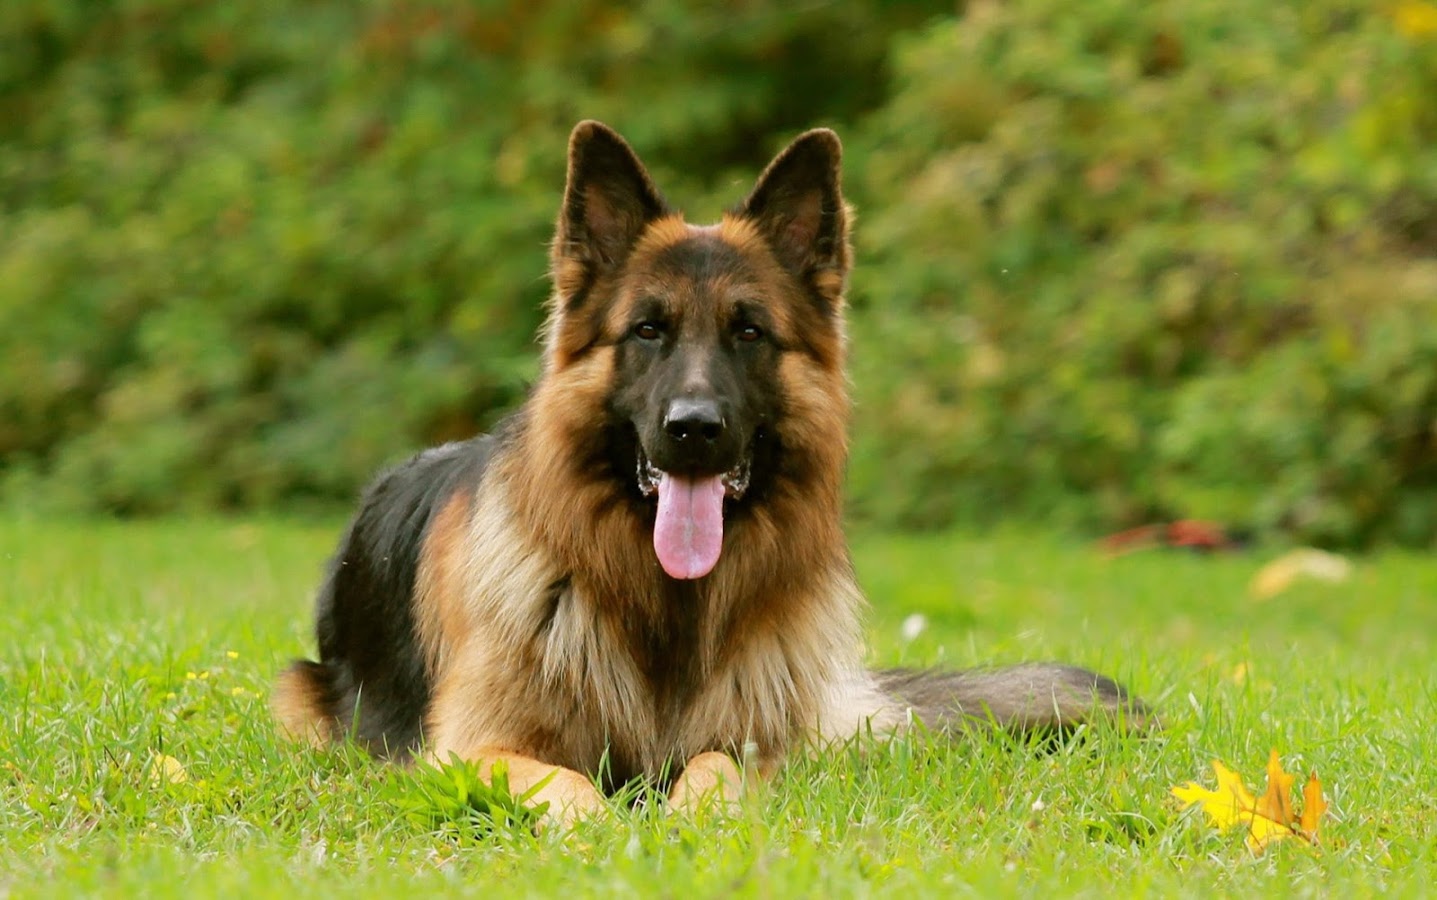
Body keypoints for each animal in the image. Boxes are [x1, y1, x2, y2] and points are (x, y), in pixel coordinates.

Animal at [271, 119, 1143, 822]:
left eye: (749, 332)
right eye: (646, 330)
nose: (692, 431)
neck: (663, 606)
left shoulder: (756, 745)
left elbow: (717, 768)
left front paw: (695, 820)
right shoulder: (468, 748)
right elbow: (562, 781)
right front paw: (602, 831)